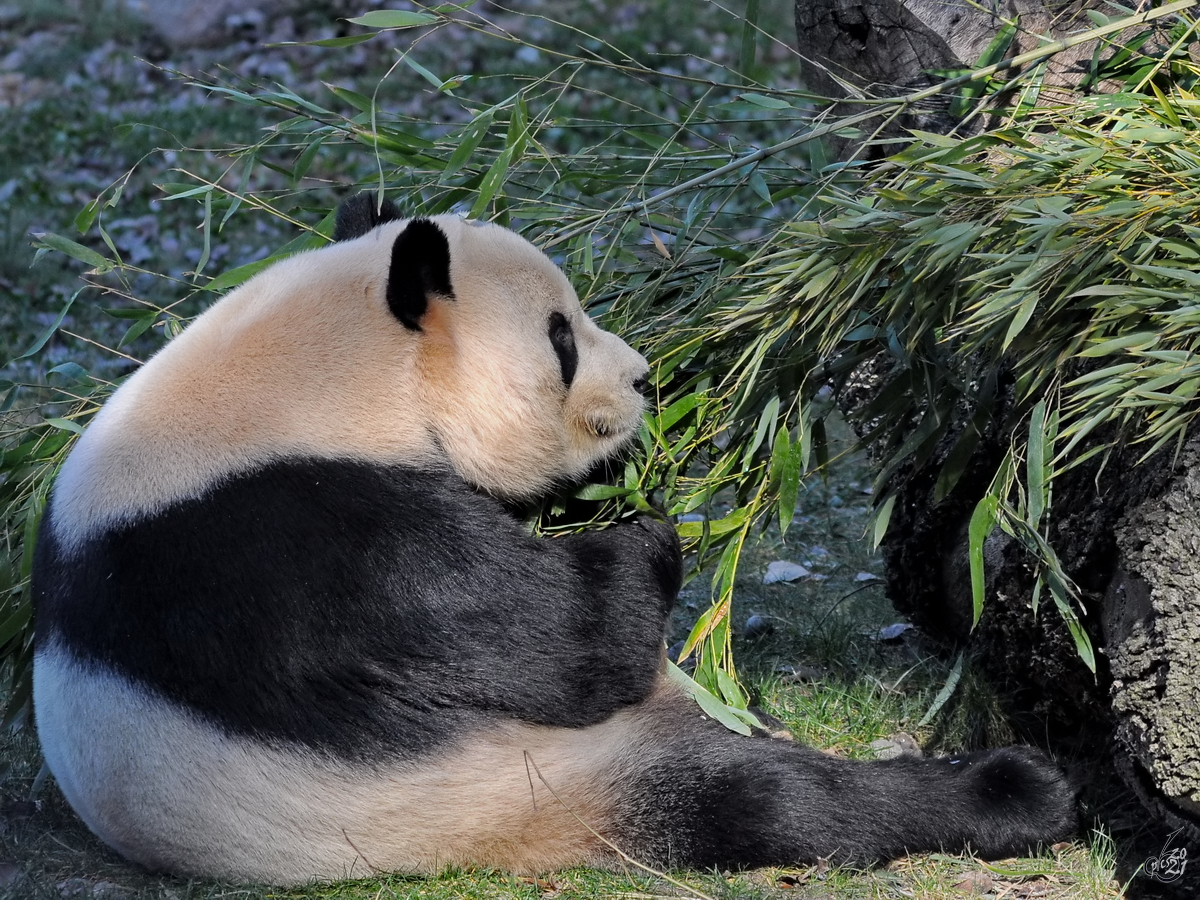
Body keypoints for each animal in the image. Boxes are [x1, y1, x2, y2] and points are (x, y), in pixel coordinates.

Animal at [28, 199, 1080, 888]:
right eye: (562, 339)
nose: (650, 380)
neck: (317, 379)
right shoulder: (318, 547)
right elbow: (568, 642)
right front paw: (643, 527)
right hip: (509, 791)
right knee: (762, 800)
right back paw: (1016, 790)